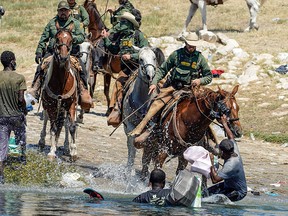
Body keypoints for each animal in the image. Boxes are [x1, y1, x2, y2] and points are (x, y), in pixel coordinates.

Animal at [38, 27, 79, 161]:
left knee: (65, 124)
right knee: (46, 119)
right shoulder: (51, 106)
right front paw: (52, 151)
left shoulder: (71, 104)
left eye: (71, 40)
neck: (61, 83)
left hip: (63, 108)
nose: (63, 57)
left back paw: (66, 147)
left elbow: (71, 127)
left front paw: (73, 152)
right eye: (57, 39)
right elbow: (54, 128)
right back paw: (42, 142)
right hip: (48, 105)